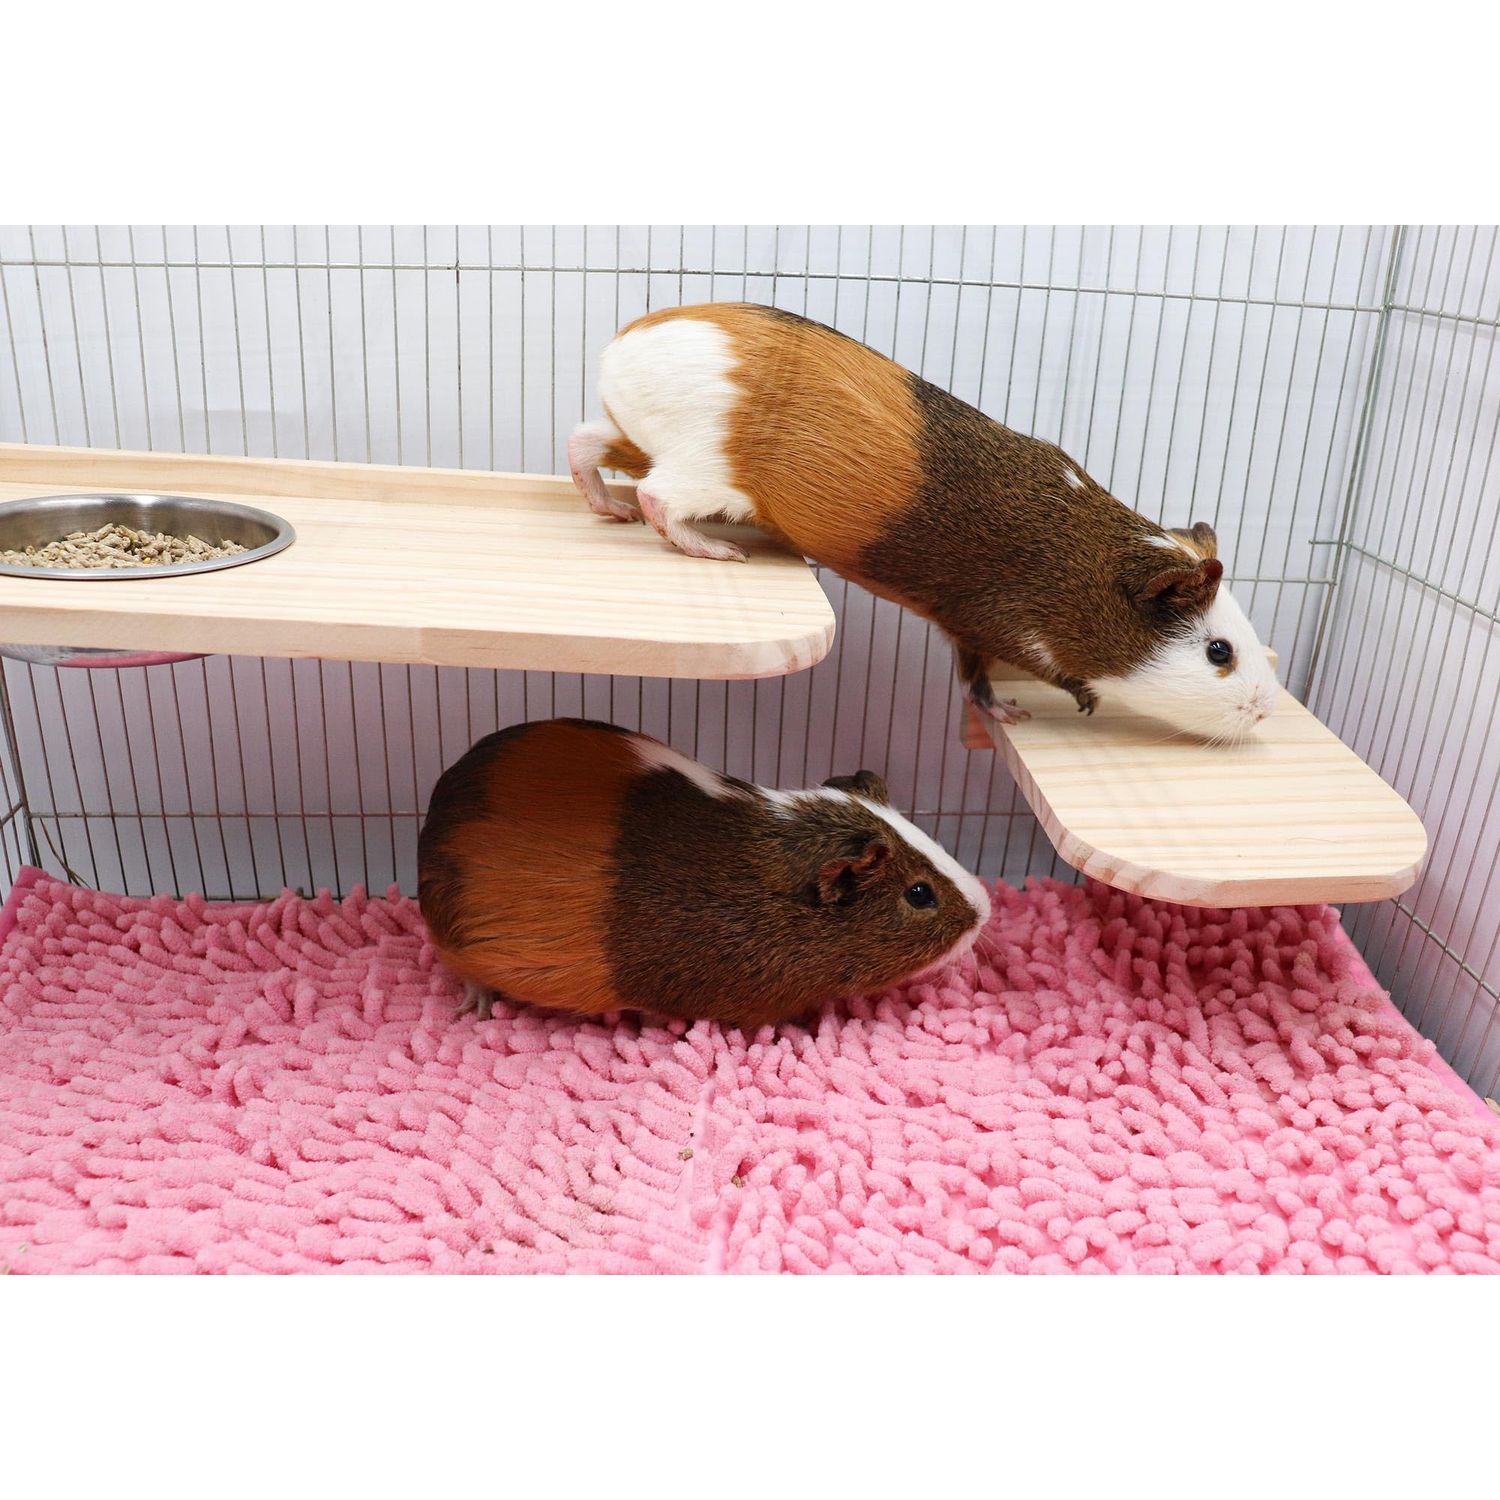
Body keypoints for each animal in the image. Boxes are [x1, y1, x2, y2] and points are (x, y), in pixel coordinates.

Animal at [569, 303, 1279, 744]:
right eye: (1219, 651)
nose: (1267, 708)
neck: (1073, 563)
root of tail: (623, 347)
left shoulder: (968, 629)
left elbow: (974, 679)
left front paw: (1018, 711)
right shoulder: (993, 627)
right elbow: (995, 676)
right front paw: (1047, 708)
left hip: (637, 440)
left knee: (584, 445)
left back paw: (608, 507)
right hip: (705, 472)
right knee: (657, 500)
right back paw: (717, 551)